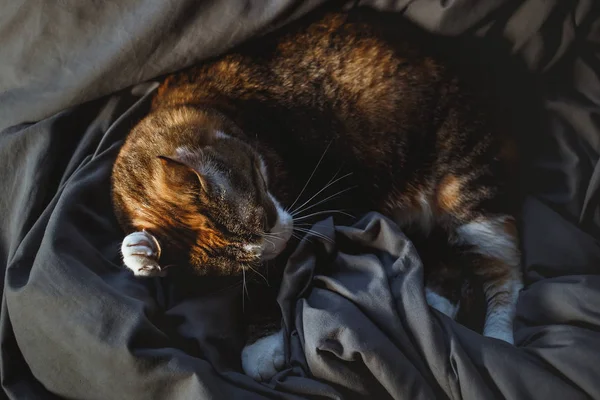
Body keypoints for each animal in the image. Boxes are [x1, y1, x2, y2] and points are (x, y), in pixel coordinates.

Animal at [110, 7, 524, 382]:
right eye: (241, 263)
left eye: (264, 216)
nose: (280, 241)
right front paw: (140, 252)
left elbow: (272, 283)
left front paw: (260, 348)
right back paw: (430, 308)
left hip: (467, 186)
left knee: (505, 274)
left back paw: (498, 343)